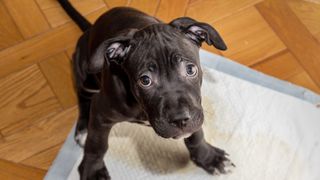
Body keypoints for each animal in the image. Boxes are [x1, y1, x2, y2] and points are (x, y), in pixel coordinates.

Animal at [57, 0, 234, 179]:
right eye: (145, 80)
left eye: (190, 70)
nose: (180, 119)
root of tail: (90, 29)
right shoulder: (101, 112)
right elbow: (97, 145)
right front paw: (93, 170)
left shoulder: (196, 107)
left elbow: (196, 134)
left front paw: (209, 158)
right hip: (85, 75)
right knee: (83, 96)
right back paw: (83, 129)